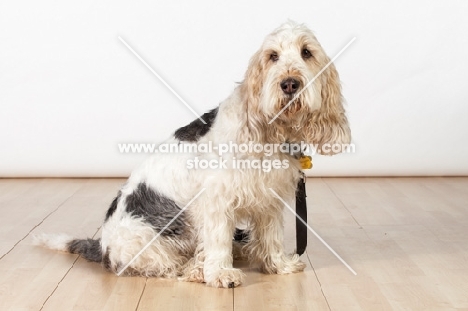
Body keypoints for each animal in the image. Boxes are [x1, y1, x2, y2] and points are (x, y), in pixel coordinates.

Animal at [35, 21, 352, 290]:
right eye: (272, 56)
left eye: (306, 52)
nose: (289, 84)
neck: (272, 132)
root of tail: (101, 245)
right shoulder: (216, 201)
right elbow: (218, 240)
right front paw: (221, 273)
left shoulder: (269, 199)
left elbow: (271, 236)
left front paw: (279, 265)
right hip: (147, 242)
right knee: (166, 266)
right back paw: (196, 270)